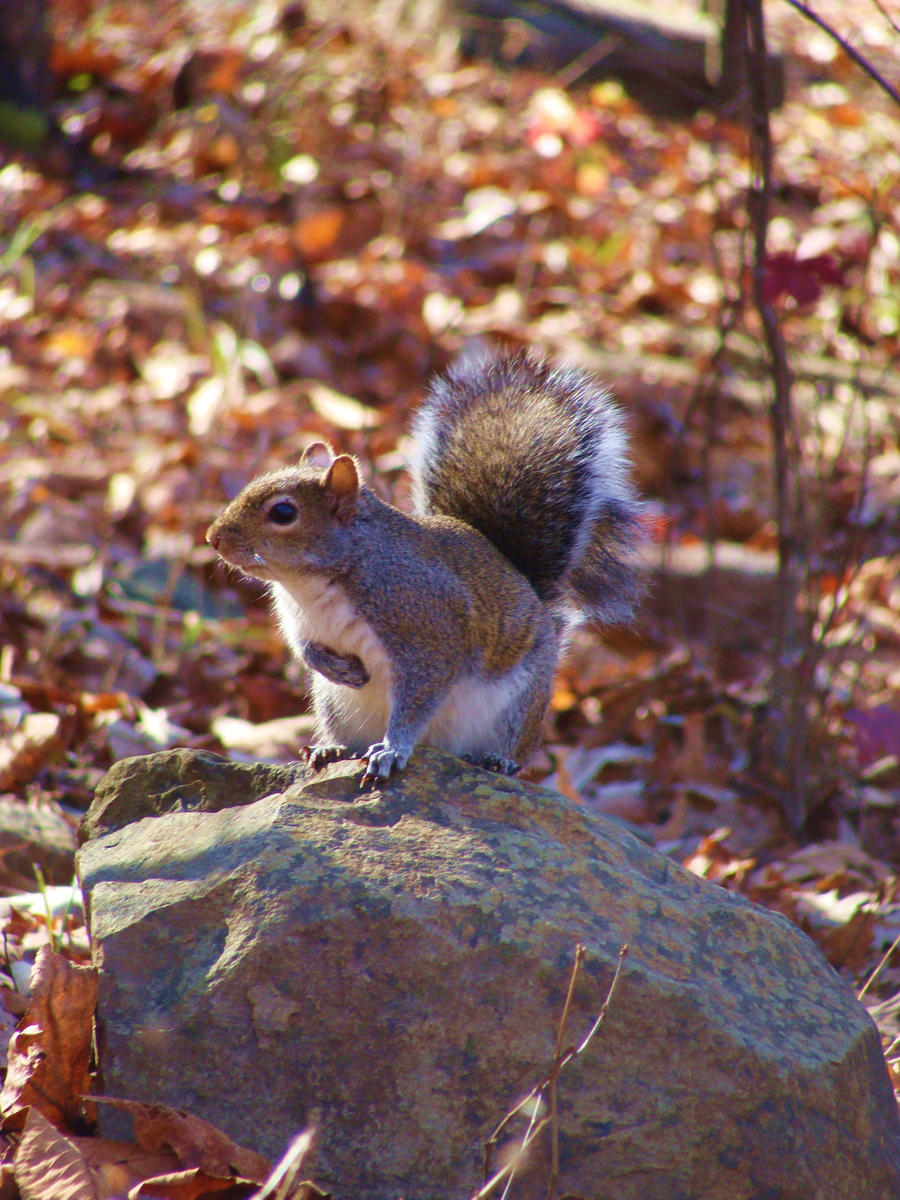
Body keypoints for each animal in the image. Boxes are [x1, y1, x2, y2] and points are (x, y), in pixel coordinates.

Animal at [206, 350, 643, 782]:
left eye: (283, 513)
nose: (213, 538)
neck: (320, 580)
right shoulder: (299, 620)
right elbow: (305, 650)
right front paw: (337, 668)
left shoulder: (426, 628)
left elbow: (420, 695)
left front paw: (392, 750)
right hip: (336, 705)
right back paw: (331, 748)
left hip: (518, 705)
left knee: (512, 751)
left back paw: (496, 761)